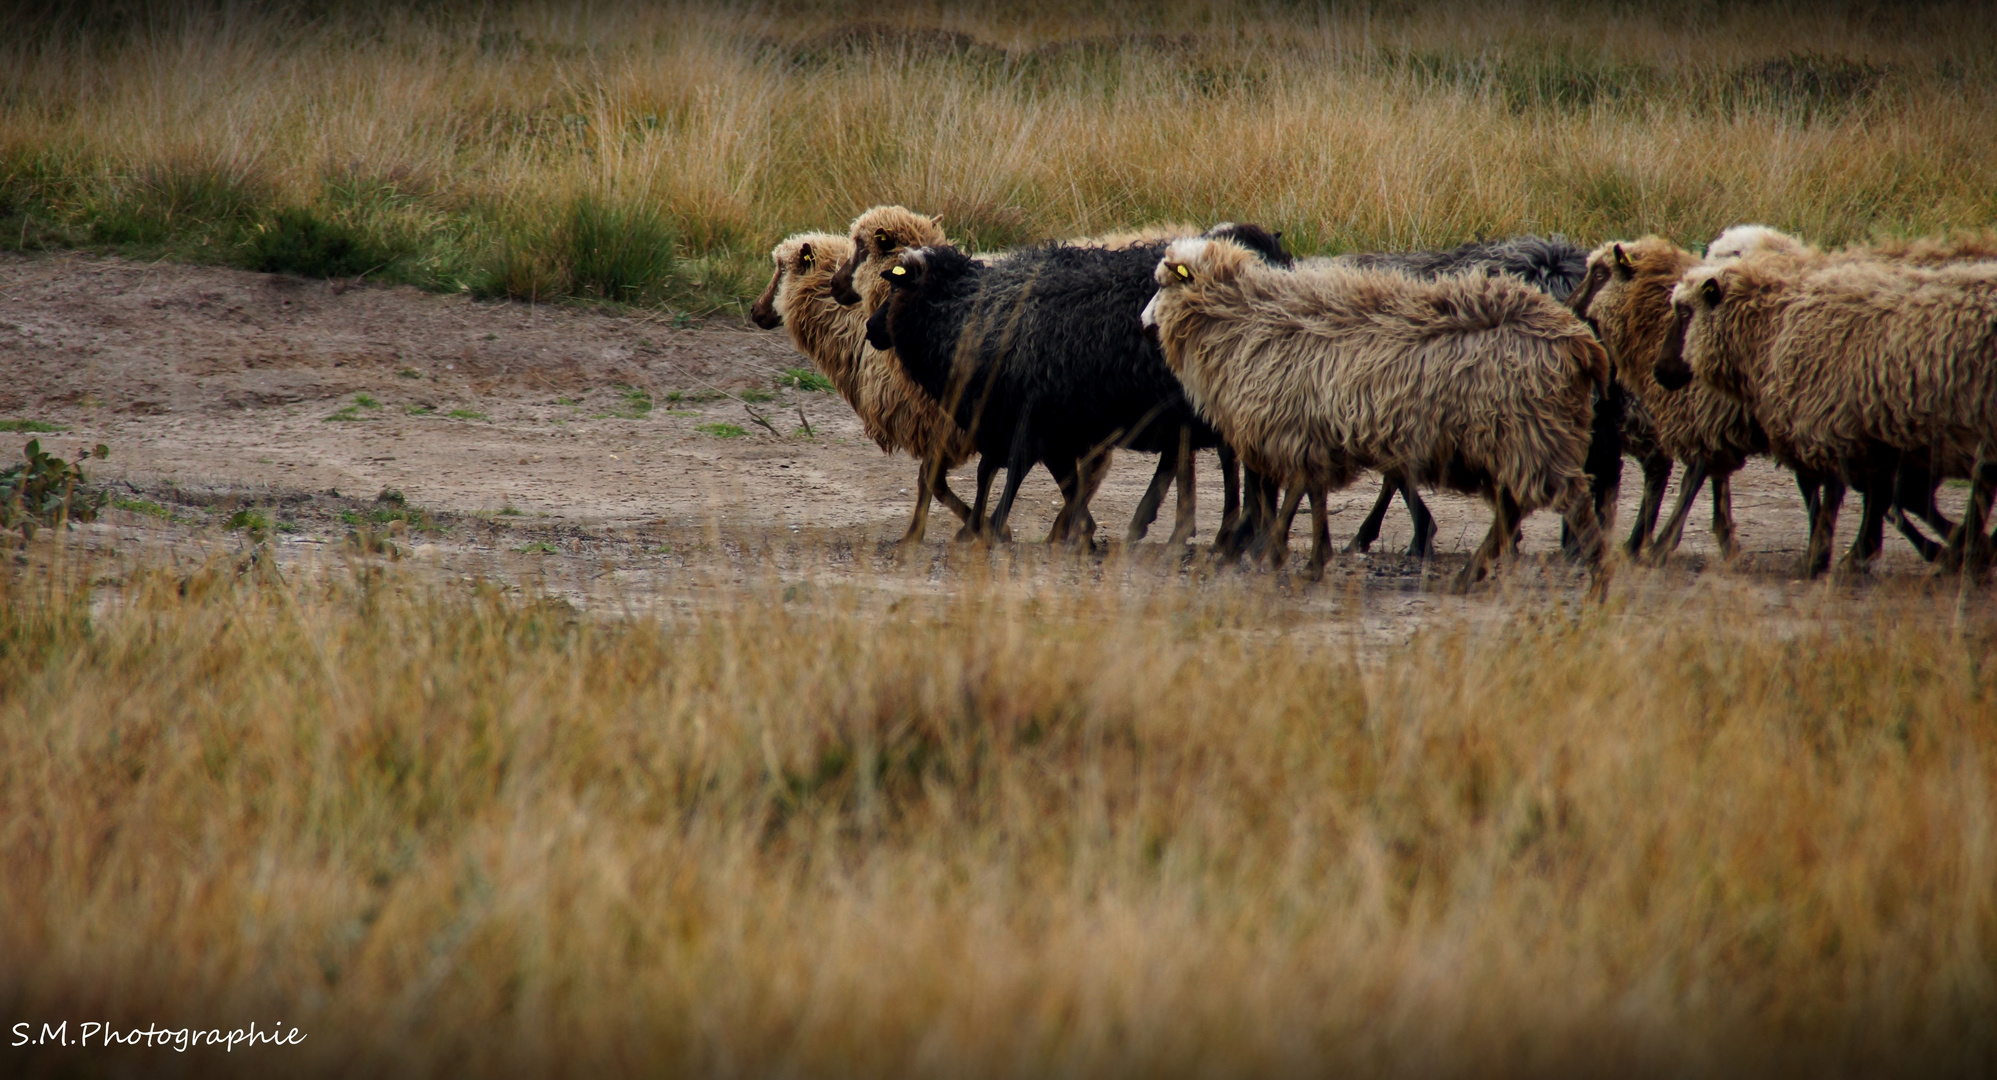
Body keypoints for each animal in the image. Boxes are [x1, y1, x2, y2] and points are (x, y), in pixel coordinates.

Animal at [1142, 233, 1605, 590]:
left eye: (1163, 285)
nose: (1144, 323)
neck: (1242, 318)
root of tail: (1578, 341)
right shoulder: (1310, 430)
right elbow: (1313, 493)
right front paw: (1313, 558)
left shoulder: (1292, 428)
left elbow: (1293, 496)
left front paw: (1279, 553)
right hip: (1521, 437)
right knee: (1514, 507)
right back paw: (1468, 575)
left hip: (1533, 433)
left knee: (1572, 504)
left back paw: (1600, 580)